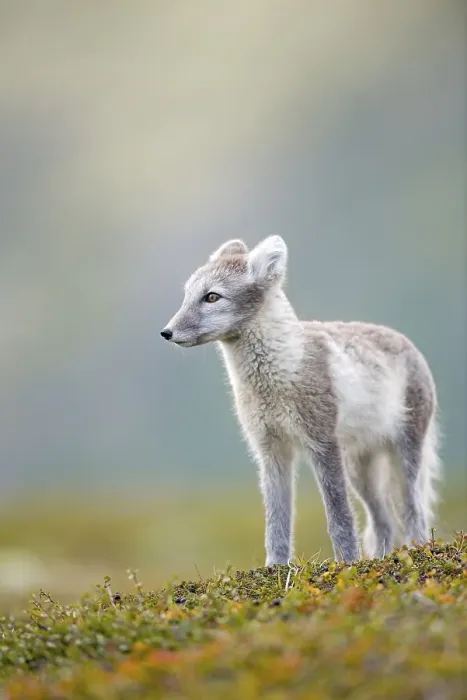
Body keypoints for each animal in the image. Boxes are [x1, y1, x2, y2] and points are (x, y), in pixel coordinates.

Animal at [161, 235, 441, 565]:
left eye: (212, 297)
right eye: (188, 295)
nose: (166, 332)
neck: (274, 379)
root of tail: (407, 342)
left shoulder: (323, 445)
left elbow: (340, 518)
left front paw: (347, 564)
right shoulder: (270, 449)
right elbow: (276, 521)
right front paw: (275, 567)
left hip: (404, 453)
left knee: (413, 512)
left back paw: (416, 551)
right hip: (359, 468)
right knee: (383, 522)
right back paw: (380, 560)